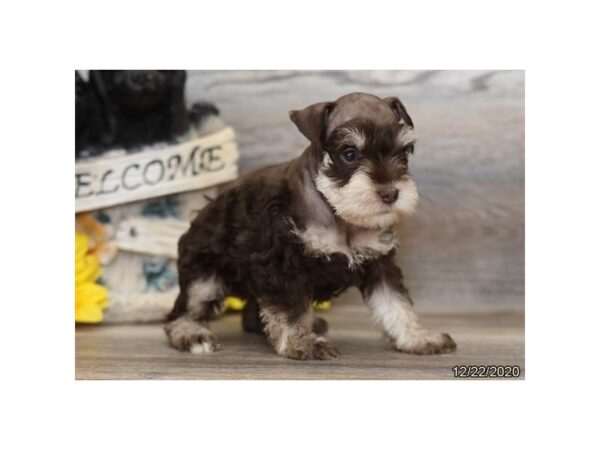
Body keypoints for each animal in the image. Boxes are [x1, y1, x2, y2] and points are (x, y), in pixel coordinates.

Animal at [164, 93, 454, 360]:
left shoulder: (379, 264)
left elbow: (396, 304)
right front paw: (302, 343)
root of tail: (203, 211)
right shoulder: (283, 266)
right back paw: (192, 334)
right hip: (204, 274)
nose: (390, 193)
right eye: (350, 154)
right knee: (183, 310)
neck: (338, 214)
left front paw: (417, 337)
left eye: (404, 151)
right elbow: (292, 308)